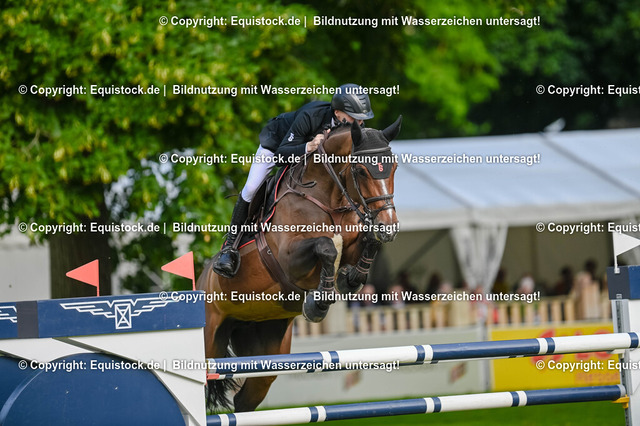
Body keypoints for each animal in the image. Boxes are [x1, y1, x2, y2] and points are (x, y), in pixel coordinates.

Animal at [196, 116, 402, 412]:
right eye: (361, 171)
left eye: (394, 167)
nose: (389, 227)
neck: (329, 198)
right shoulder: (289, 259)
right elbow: (325, 246)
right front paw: (319, 302)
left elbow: (368, 242)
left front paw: (350, 280)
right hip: (210, 339)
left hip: (265, 346)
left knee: (246, 398)